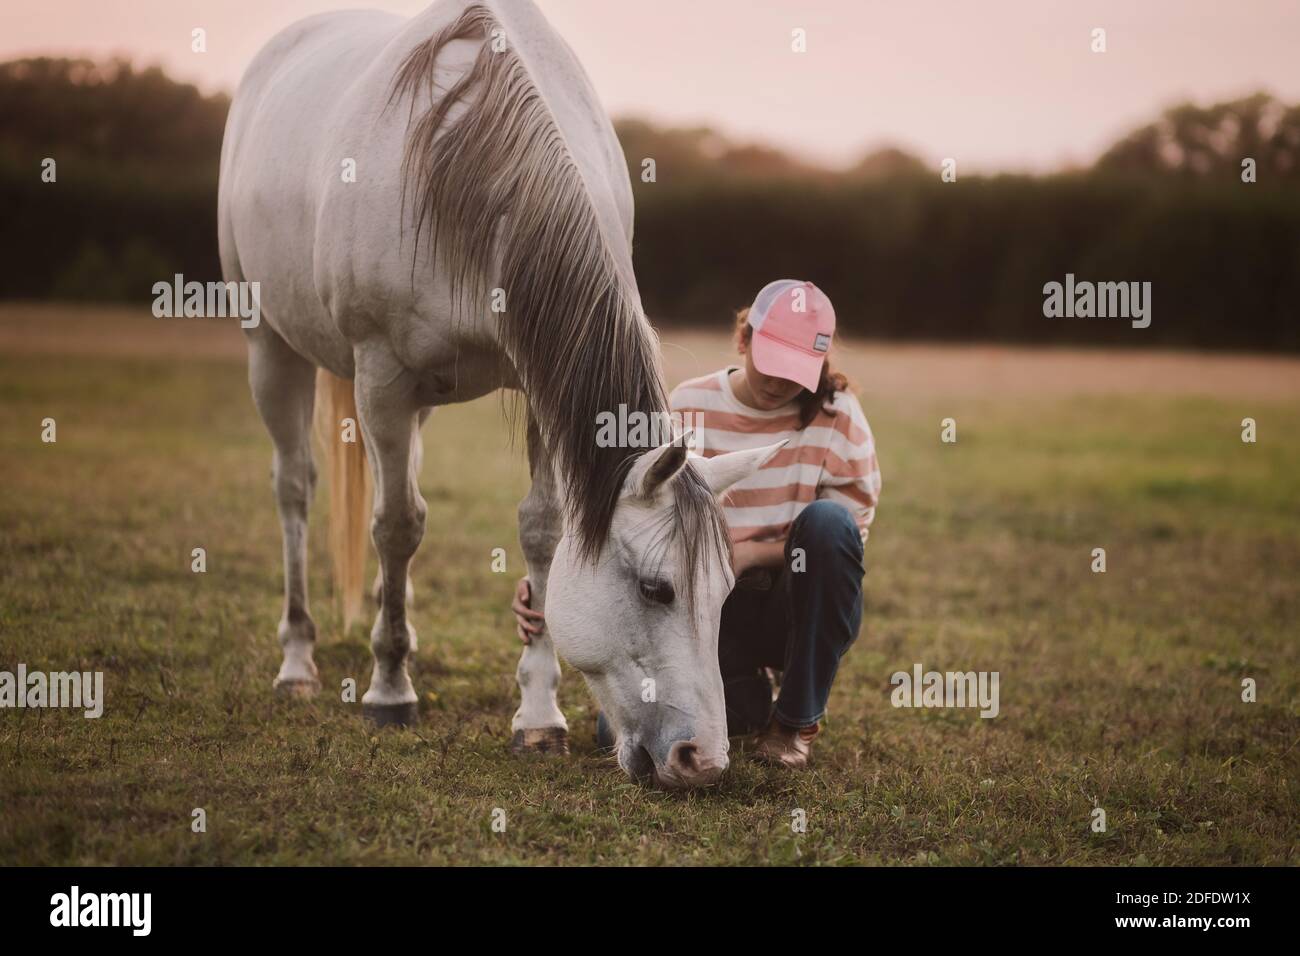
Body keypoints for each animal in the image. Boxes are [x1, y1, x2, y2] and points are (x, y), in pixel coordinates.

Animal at [220, 0, 780, 790]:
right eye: (657, 589)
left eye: (727, 591)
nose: (701, 760)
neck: (464, 168)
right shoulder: (381, 374)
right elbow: (397, 526)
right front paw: (390, 691)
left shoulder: (534, 380)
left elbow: (540, 530)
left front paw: (538, 717)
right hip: (270, 345)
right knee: (296, 490)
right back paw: (298, 662)